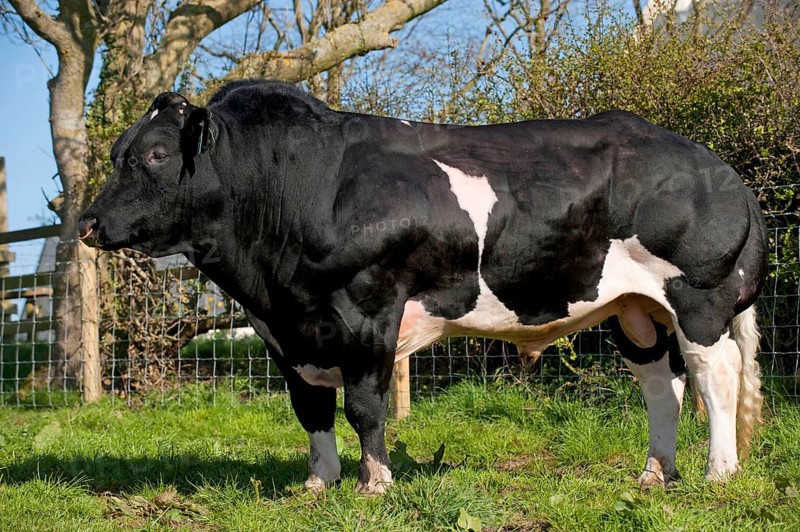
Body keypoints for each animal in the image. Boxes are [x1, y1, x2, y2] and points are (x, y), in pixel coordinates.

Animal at [79, 79, 767, 495]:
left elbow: (364, 406)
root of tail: (714, 163)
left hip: (699, 294)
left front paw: (374, 484)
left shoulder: (366, 310)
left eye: (157, 154)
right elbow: (310, 409)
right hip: (634, 309)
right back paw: (655, 472)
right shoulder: (288, 333)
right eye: (117, 153)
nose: (87, 222)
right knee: (662, 383)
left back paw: (719, 472)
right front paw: (318, 483)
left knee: (715, 373)